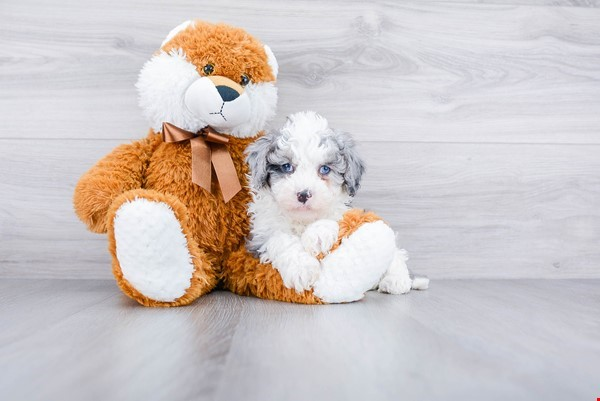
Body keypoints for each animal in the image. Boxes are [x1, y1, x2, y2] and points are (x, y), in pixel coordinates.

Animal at [244, 110, 426, 296]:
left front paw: (318, 235)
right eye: (286, 166)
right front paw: (302, 269)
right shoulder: (261, 234)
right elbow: (281, 240)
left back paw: (397, 280)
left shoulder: (342, 211)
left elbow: (332, 218)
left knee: (397, 253)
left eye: (325, 169)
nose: (303, 194)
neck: (303, 220)